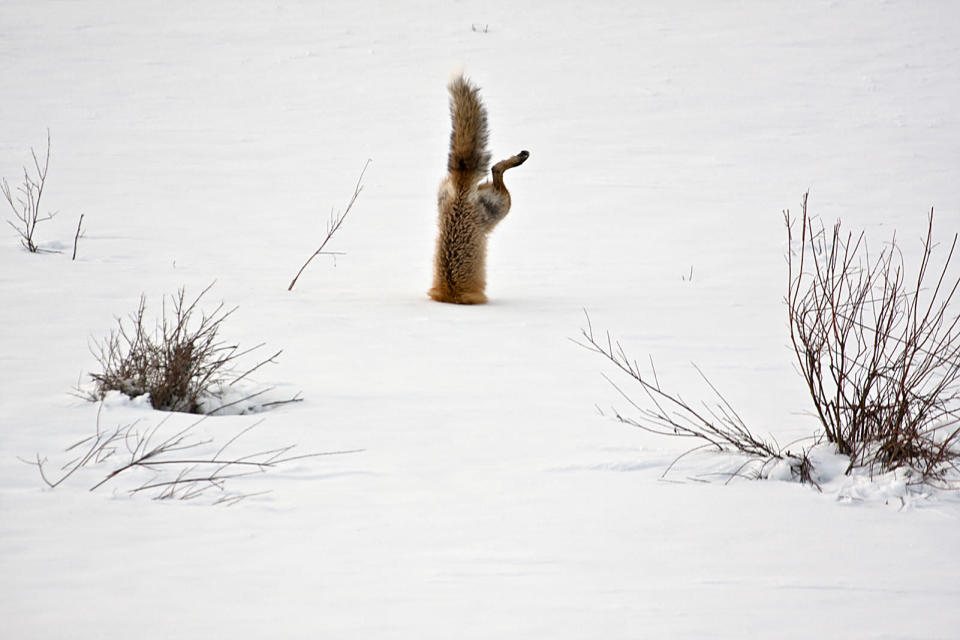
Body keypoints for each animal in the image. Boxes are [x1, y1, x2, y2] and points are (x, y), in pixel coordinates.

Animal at [430, 75, 528, 304]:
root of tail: (461, 190)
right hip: (502, 207)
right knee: (496, 169)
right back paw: (518, 158)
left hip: (499, 205)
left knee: (496, 169)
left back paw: (518, 158)